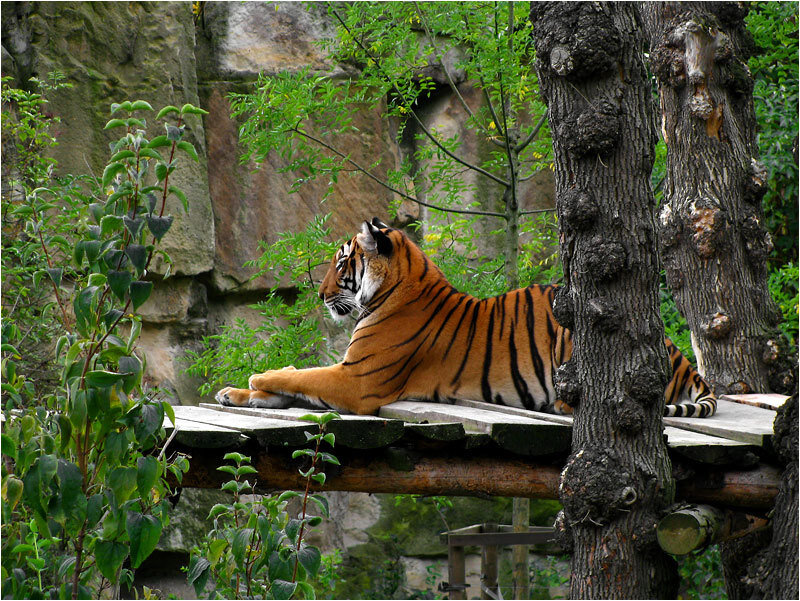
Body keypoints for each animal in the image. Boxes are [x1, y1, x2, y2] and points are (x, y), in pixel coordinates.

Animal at [216, 218, 717, 418]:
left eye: (341, 263)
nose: (320, 296)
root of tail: (680, 357)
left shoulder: (357, 379)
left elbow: (301, 376)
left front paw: (259, 378)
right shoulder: (348, 373)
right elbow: (297, 382)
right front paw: (236, 393)